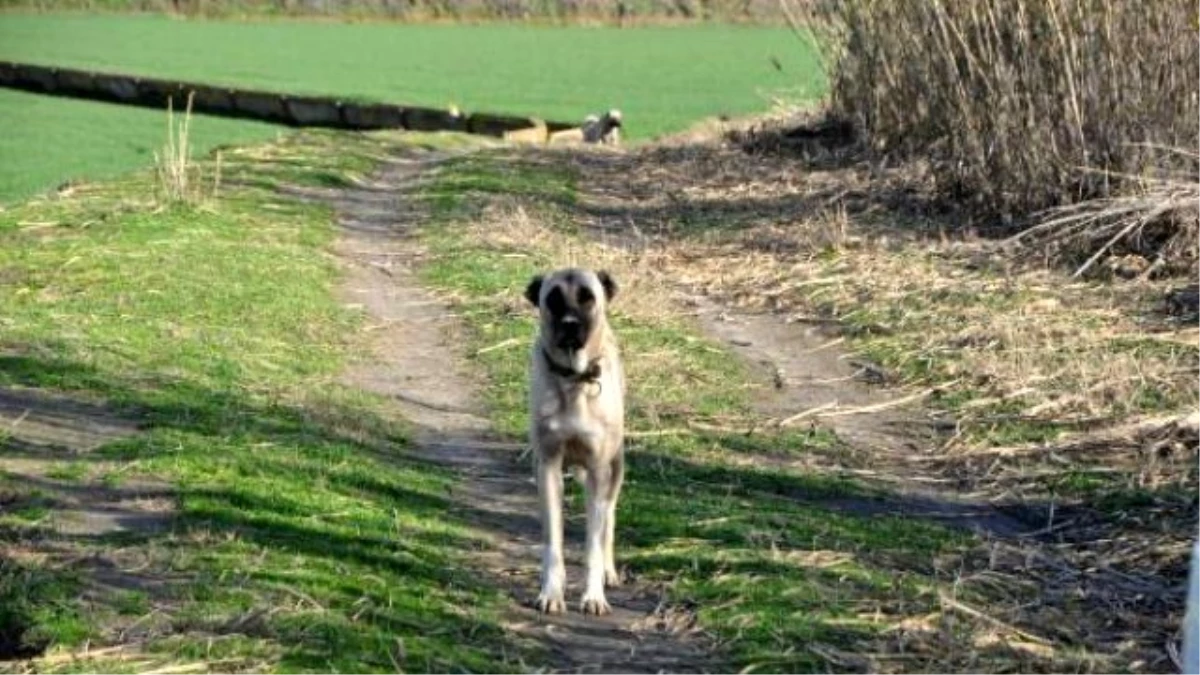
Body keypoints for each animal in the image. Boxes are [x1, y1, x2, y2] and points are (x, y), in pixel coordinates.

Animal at [525, 265, 628, 612]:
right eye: (553, 299)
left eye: (587, 297)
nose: (570, 324)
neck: (574, 381)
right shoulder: (548, 465)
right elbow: (553, 541)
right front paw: (551, 593)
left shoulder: (598, 469)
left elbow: (593, 543)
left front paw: (593, 596)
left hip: (616, 465)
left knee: (608, 518)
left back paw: (609, 572)